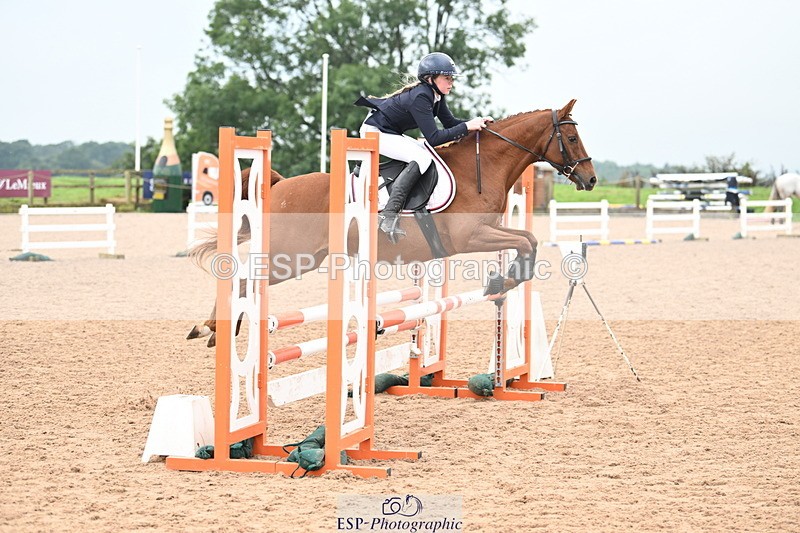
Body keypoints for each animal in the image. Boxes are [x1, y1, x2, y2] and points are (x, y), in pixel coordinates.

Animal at [187, 99, 597, 347]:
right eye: (571, 136)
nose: (591, 179)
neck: (481, 169)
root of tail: (280, 185)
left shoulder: (487, 231)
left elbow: (528, 238)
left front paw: (503, 280)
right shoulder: (470, 237)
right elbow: (526, 241)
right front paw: (502, 280)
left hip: (301, 258)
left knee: (244, 280)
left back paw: (216, 330)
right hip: (289, 256)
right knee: (243, 278)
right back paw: (212, 327)